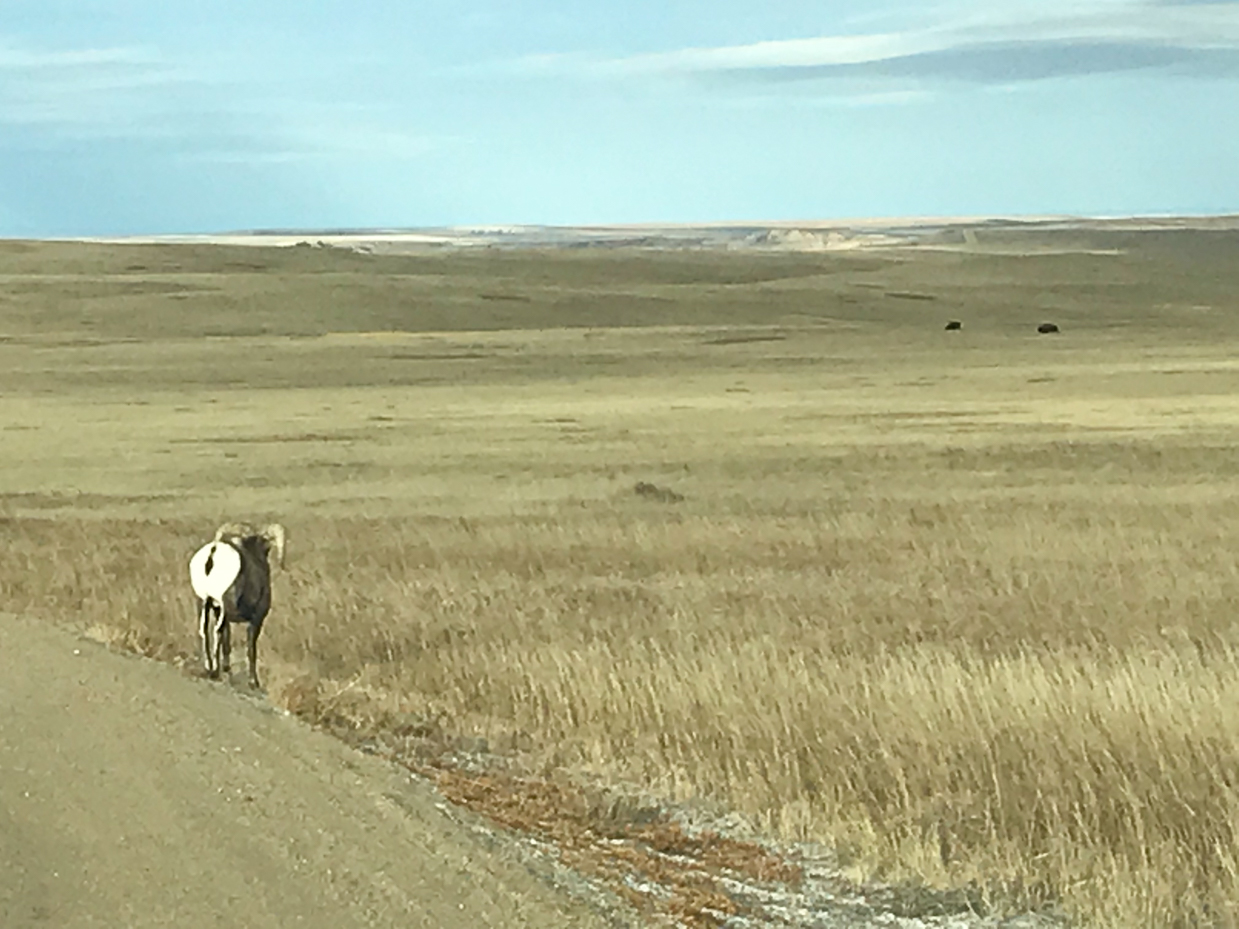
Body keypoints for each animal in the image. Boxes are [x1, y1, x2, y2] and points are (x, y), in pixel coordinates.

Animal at [185, 525, 284, 693]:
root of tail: (213, 552)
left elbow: (227, 641)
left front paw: (227, 669)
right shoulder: (256, 618)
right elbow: (250, 649)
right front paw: (253, 682)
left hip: (203, 602)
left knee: (204, 630)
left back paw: (209, 668)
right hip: (224, 603)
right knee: (216, 631)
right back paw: (214, 671)